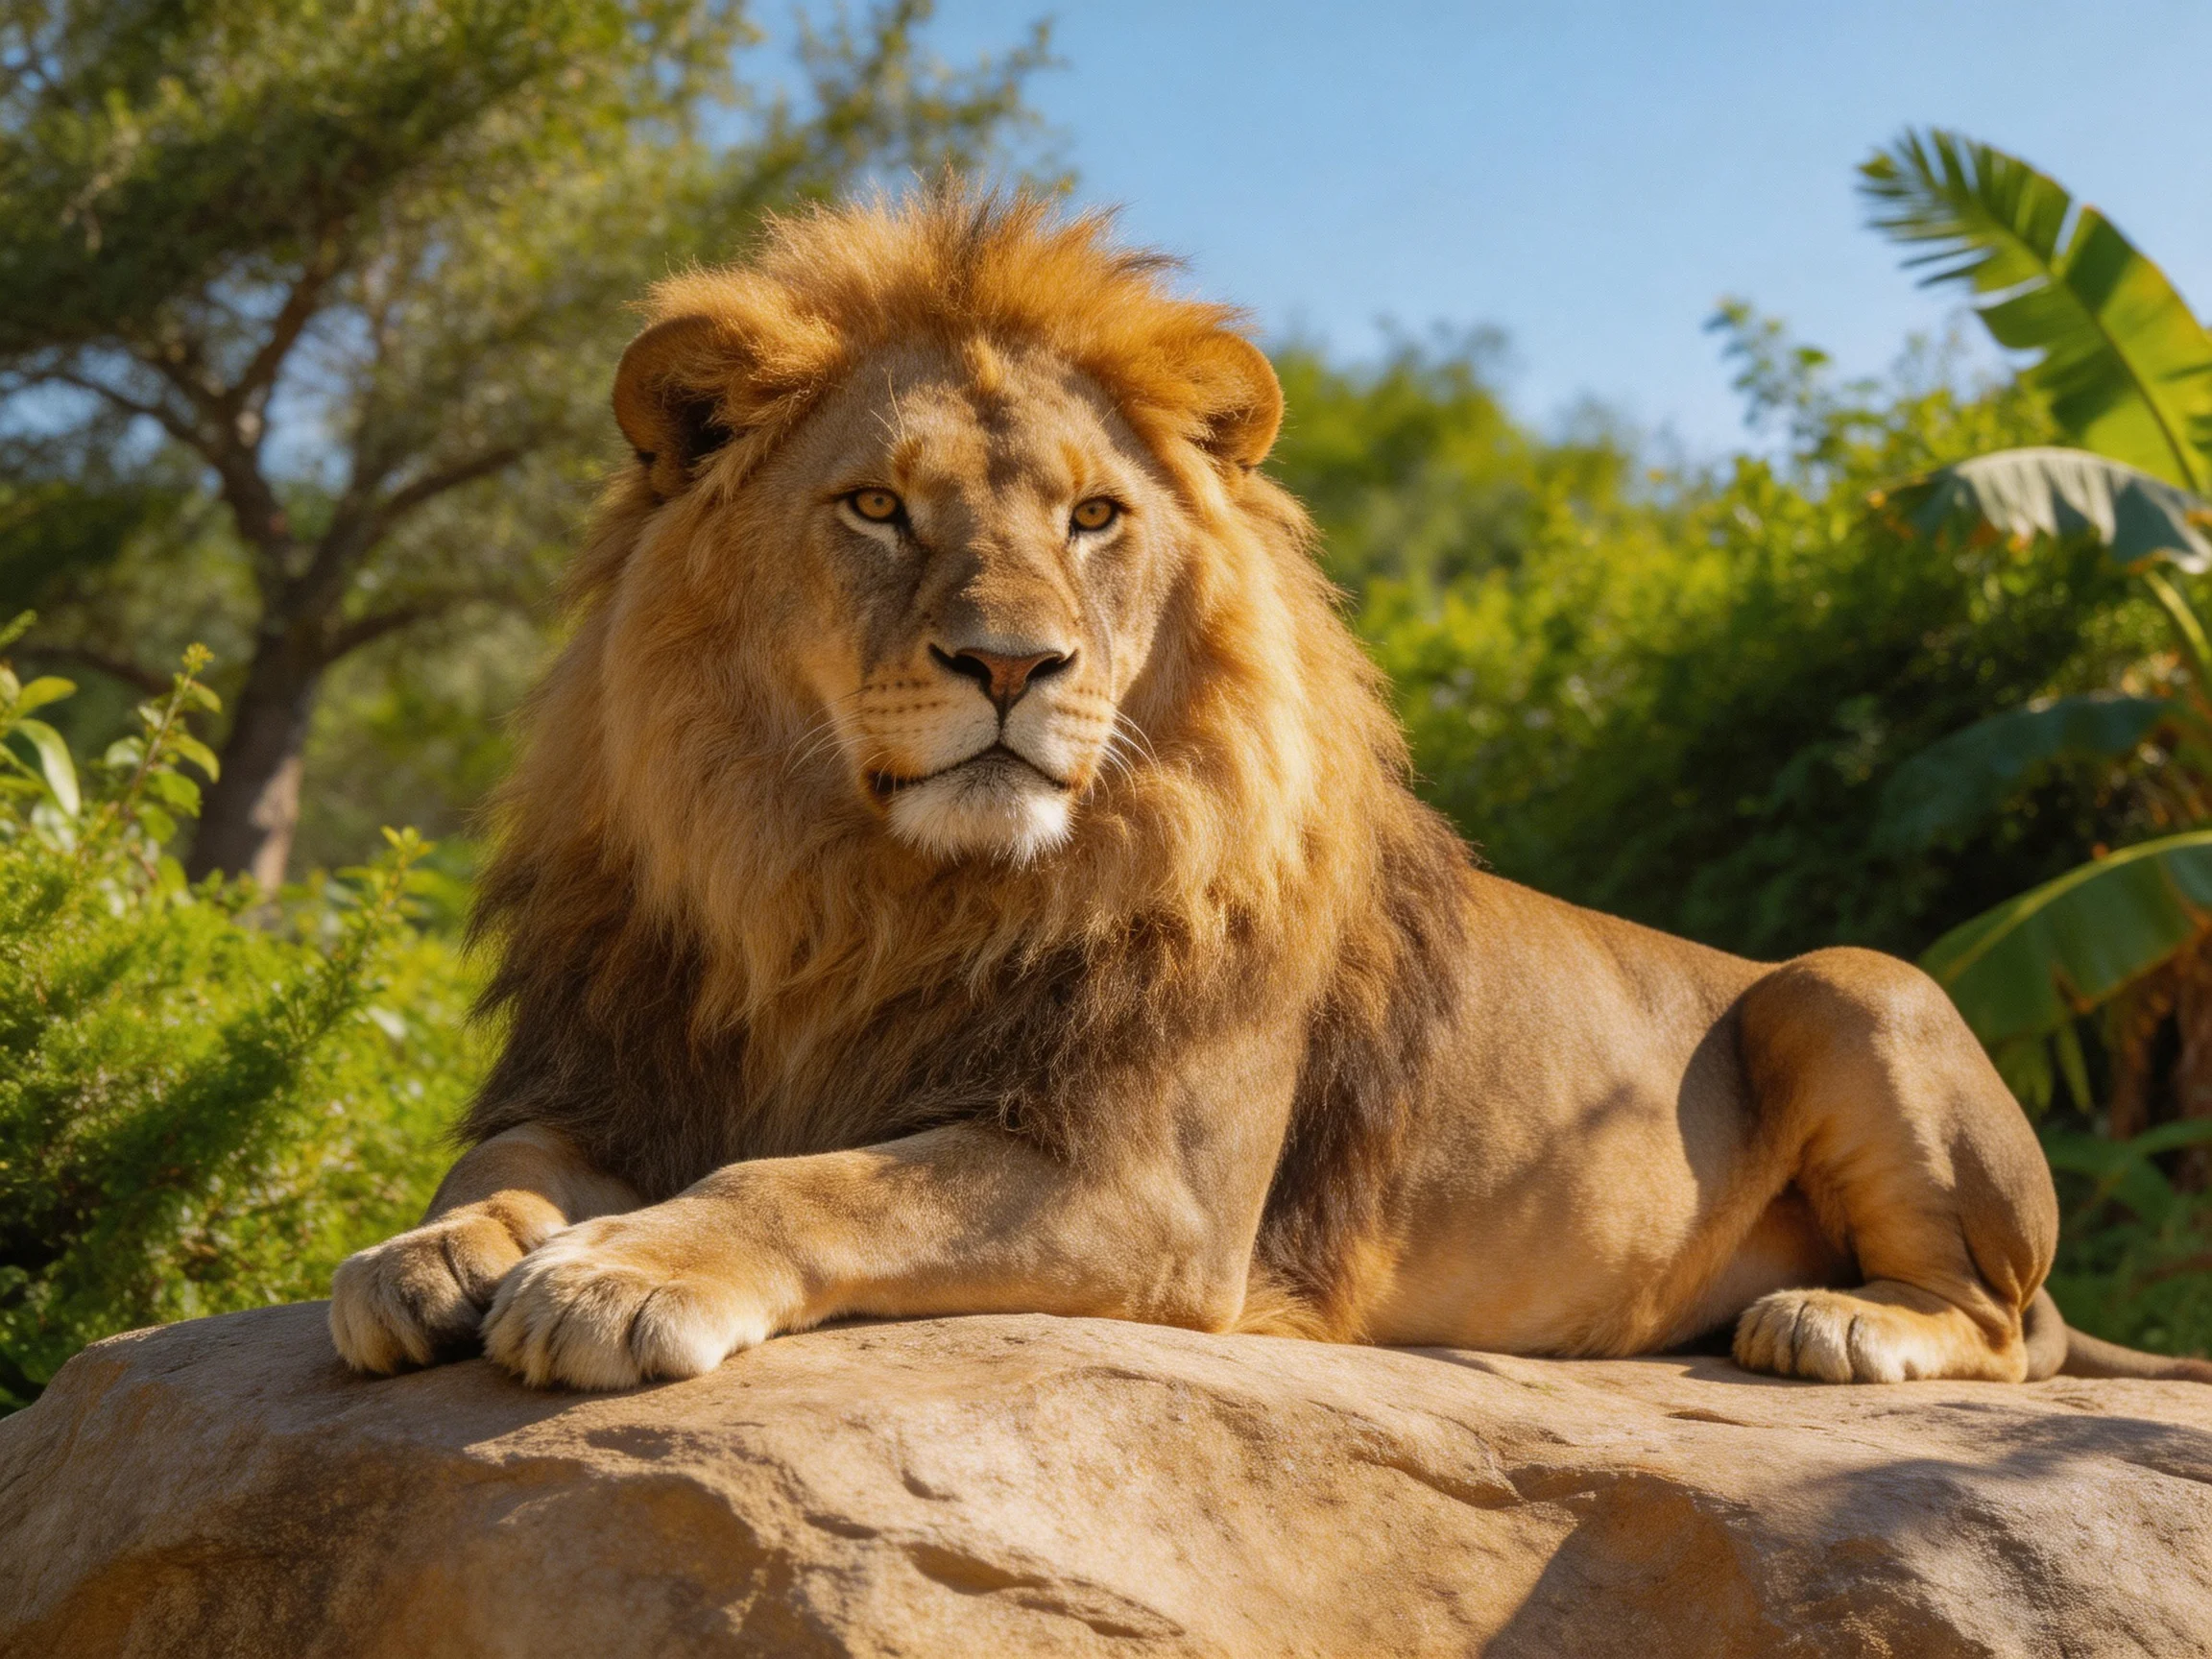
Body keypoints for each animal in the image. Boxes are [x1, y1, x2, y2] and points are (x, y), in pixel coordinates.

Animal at [329, 186, 2211, 1393]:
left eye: (1092, 517)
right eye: (875, 507)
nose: (1013, 665)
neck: (845, 890)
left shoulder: (1141, 1182)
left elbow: (815, 1180)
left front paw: (623, 1272)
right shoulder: (609, 1064)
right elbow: (495, 1160)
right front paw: (433, 1255)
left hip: (1851, 983)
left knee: (2002, 1326)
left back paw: (1839, 1323)